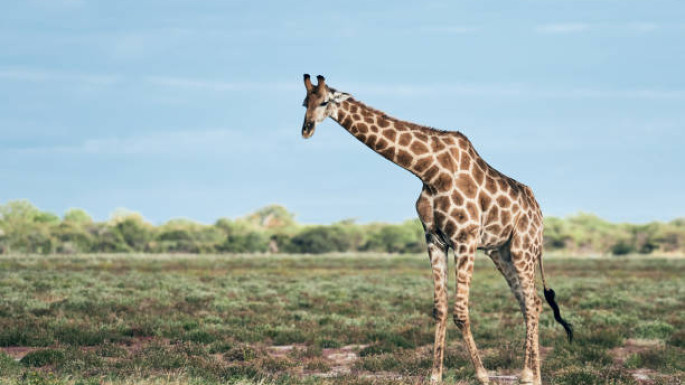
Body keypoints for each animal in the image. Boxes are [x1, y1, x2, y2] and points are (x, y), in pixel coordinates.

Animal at [300, 75, 572, 384]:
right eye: (304, 102)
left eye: (324, 101)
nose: (306, 129)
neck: (429, 172)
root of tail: (540, 215)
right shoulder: (434, 239)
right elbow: (440, 310)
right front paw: (435, 377)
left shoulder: (465, 239)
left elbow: (460, 313)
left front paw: (483, 375)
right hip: (500, 252)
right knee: (531, 302)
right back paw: (532, 375)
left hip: (523, 247)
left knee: (533, 301)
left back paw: (528, 374)